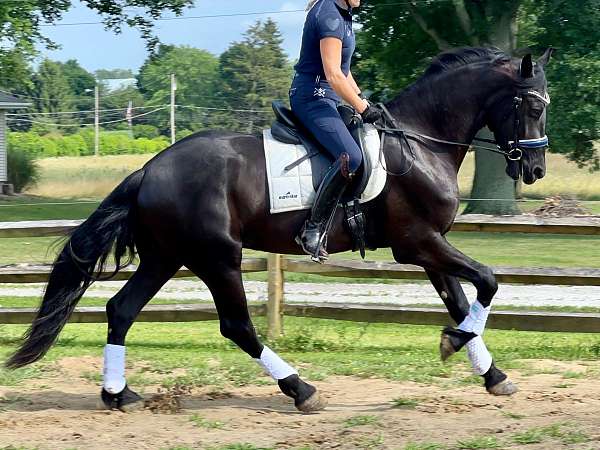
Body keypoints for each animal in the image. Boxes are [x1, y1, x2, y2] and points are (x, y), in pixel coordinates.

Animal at [7, 47, 552, 414]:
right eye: (534, 106)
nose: (536, 170)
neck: (420, 143)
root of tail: (149, 169)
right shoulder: (418, 243)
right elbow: (487, 282)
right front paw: (454, 344)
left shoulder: (428, 246)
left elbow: (461, 300)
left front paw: (491, 374)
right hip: (217, 258)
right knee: (237, 326)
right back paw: (301, 389)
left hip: (167, 257)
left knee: (121, 310)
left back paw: (118, 394)